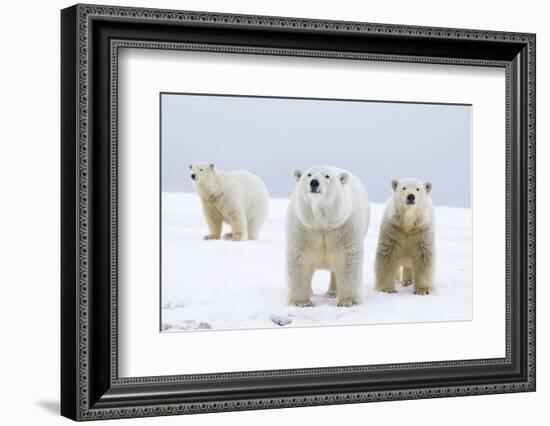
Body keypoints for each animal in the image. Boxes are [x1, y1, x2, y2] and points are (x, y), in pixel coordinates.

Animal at [286, 165, 374, 308]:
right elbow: (299, 256)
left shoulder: (344, 225)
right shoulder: (303, 226)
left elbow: (347, 257)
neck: (322, 224)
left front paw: (348, 301)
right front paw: (302, 302)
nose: (314, 182)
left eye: (327, 176)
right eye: (309, 174)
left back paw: (333, 292)